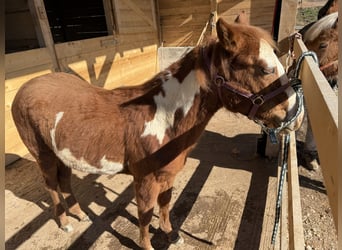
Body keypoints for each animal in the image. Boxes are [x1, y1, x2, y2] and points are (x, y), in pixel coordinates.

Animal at [12, 16, 304, 249]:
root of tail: (26, 87)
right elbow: (144, 213)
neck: (162, 117)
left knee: (64, 181)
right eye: (264, 68)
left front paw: (171, 235)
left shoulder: (167, 175)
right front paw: (147, 245)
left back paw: (79, 214)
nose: (297, 116)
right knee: (51, 185)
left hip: (61, 154)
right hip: (43, 155)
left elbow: (165, 204)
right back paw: (64, 223)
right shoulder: (144, 180)